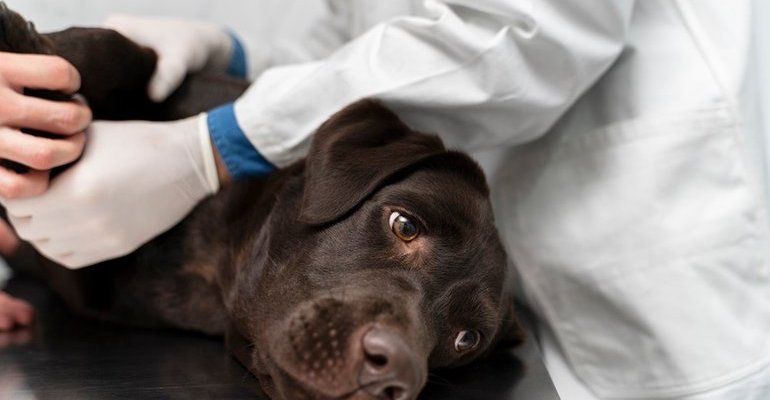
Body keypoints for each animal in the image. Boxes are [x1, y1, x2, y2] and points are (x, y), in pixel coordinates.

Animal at [0, 6, 520, 400]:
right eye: (405, 225)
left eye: (466, 339)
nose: (394, 373)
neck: (211, 261)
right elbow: (124, 51)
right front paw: (16, 39)